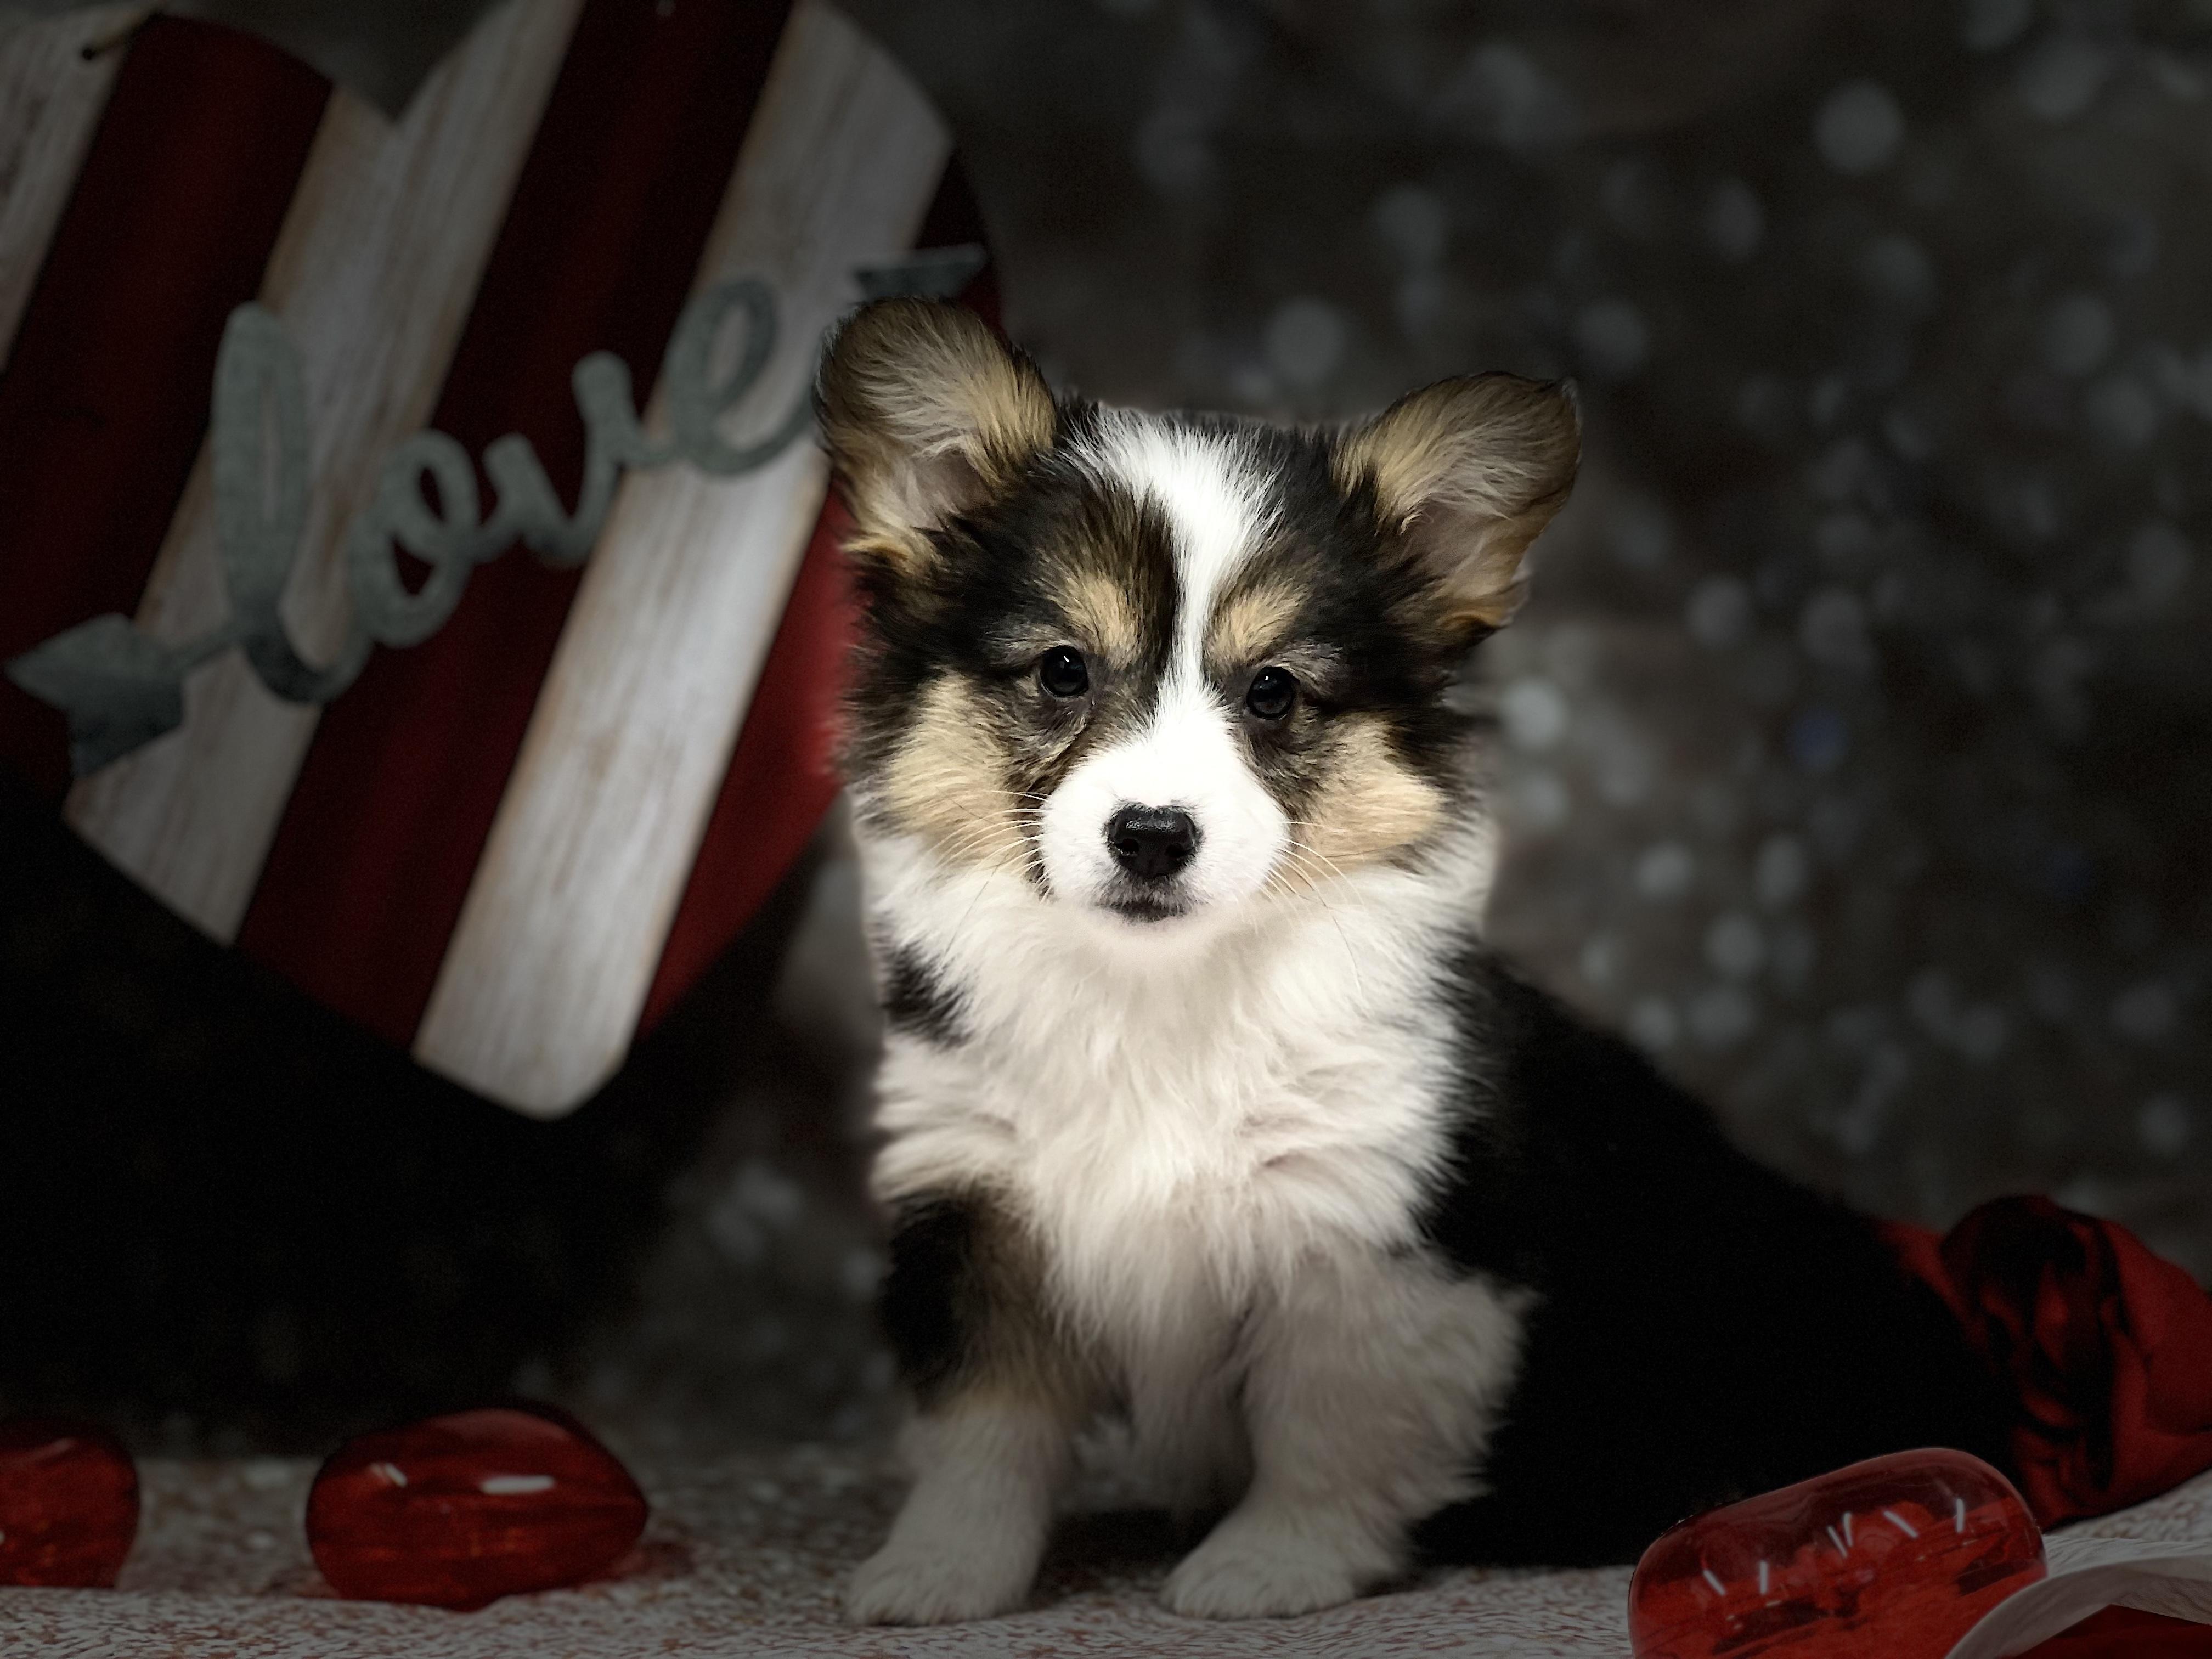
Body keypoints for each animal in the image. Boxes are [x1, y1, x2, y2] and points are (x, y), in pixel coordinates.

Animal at [815, 298, 2011, 1624]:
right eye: (1063, 670)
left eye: (1274, 692)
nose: (1154, 836)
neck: (1164, 987)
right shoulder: (978, 1200)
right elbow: (985, 1428)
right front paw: (936, 1573)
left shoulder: (1378, 1238)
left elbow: (1329, 1428)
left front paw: (1265, 1568)